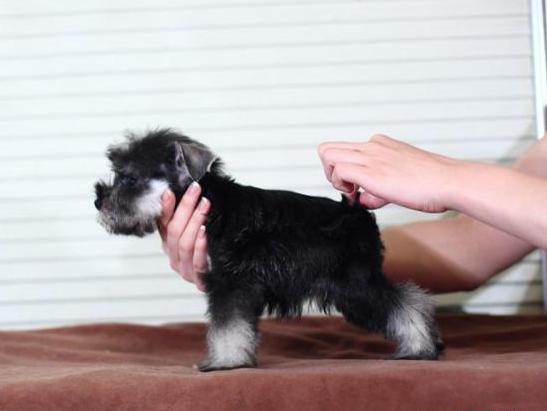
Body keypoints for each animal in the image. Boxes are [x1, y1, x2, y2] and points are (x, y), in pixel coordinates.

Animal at [95, 130, 446, 374]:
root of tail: (354, 212)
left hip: (354, 286)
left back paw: (419, 348)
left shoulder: (231, 285)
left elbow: (227, 328)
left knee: (407, 304)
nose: (99, 201)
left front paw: (225, 363)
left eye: (130, 178)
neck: (213, 208)